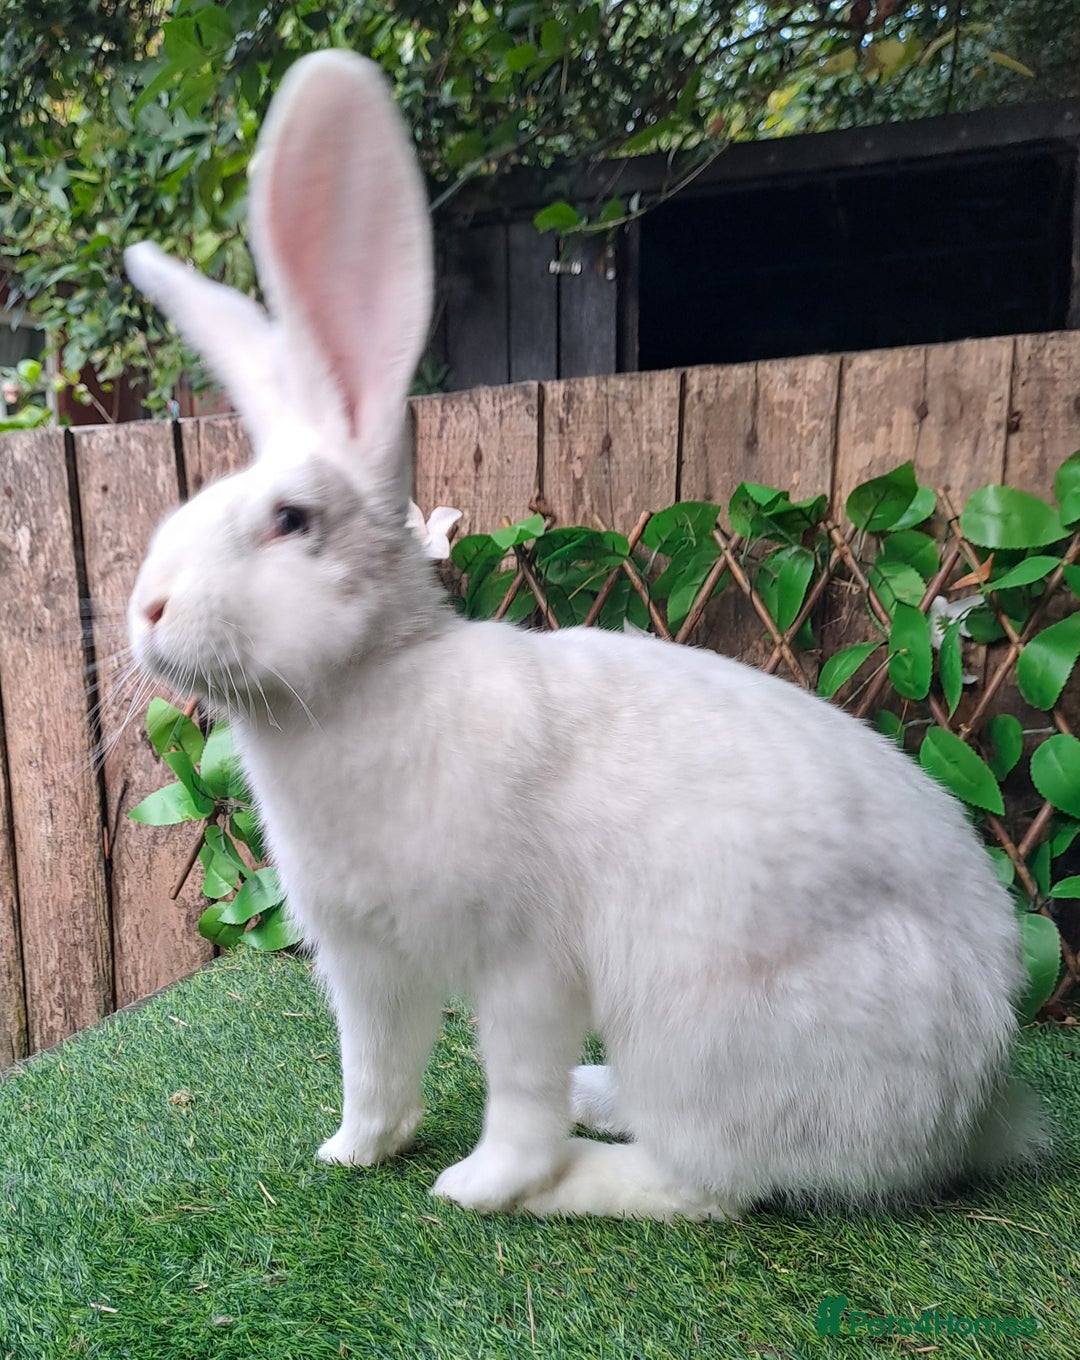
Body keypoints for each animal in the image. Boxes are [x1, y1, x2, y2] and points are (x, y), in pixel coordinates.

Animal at [124, 49, 1045, 1220]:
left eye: (289, 520)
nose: (146, 611)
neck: (369, 688)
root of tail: (976, 1108)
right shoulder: (368, 964)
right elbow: (375, 1067)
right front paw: (353, 1153)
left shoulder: (526, 961)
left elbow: (516, 1086)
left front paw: (477, 1185)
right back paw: (596, 1103)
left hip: (701, 1022)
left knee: (707, 1185)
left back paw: (566, 1180)